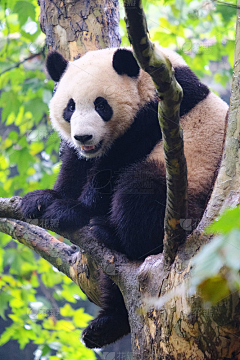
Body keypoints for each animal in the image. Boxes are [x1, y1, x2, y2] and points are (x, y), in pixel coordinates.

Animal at [20, 46, 227, 348]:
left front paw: (70, 209)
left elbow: (114, 165)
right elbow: (75, 165)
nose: (84, 137)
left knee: (140, 192)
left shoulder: (160, 115)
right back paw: (105, 326)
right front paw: (42, 199)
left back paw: (112, 234)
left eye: (101, 105)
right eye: (70, 107)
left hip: (191, 184)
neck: (146, 82)